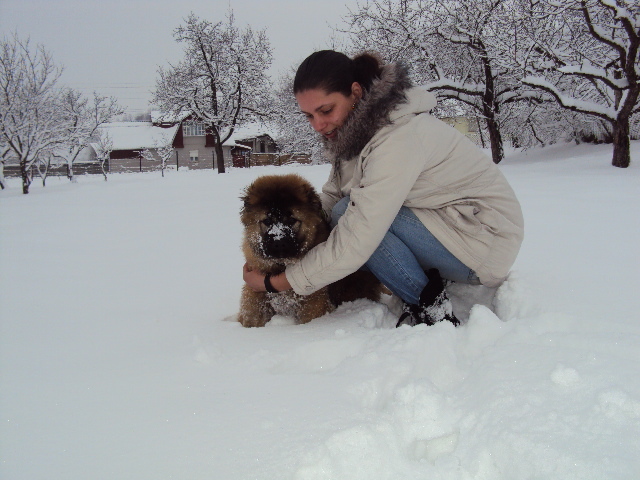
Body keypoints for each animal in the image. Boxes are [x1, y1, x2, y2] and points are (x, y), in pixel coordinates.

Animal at [239, 174, 380, 328]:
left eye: (292, 220)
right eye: (267, 221)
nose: (278, 242)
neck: (281, 266)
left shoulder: (314, 302)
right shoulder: (255, 296)